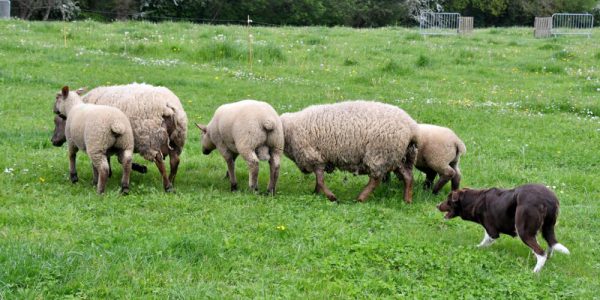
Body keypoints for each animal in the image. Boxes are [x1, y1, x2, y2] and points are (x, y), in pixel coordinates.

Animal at [280, 100, 418, 202]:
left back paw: (360, 198)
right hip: (397, 155)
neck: (289, 130)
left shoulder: (314, 156)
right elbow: (318, 180)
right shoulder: (318, 158)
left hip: (380, 153)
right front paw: (316, 193)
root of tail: (411, 126)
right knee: (408, 176)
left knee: (375, 179)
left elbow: (320, 180)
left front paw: (331, 197)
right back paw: (407, 200)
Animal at [438, 183, 568, 272]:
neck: (475, 200)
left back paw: (535, 272)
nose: (437, 205)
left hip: (523, 230)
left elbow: (485, 241)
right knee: (549, 245)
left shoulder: (492, 231)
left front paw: (476, 248)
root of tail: (549, 200)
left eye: (448, 200)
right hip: (546, 228)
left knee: (541, 253)